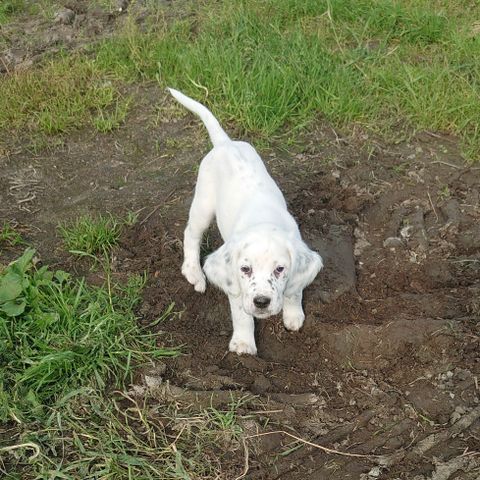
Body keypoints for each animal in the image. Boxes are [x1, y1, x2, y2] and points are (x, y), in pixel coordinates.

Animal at [169, 88, 322, 354]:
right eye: (245, 269)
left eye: (280, 269)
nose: (261, 302)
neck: (264, 220)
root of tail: (225, 143)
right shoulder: (236, 288)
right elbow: (241, 314)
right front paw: (243, 343)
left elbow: (294, 291)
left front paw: (293, 315)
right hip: (203, 204)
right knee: (191, 234)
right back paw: (194, 272)